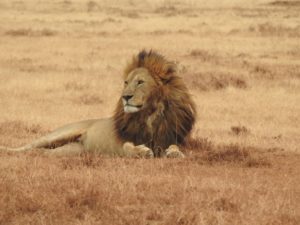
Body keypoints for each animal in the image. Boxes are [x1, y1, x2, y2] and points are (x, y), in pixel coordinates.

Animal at [0, 50, 197, 157]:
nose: (125, 97)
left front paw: (174, 154)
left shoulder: (171, 137)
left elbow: (176, 148)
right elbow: (127, 148)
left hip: (71, 151)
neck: (150, 115)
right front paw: (142, 151)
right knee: (25, 147)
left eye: (140, 82)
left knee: (42, 152)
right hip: (55, 136)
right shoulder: (121, 144)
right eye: (126, 82)